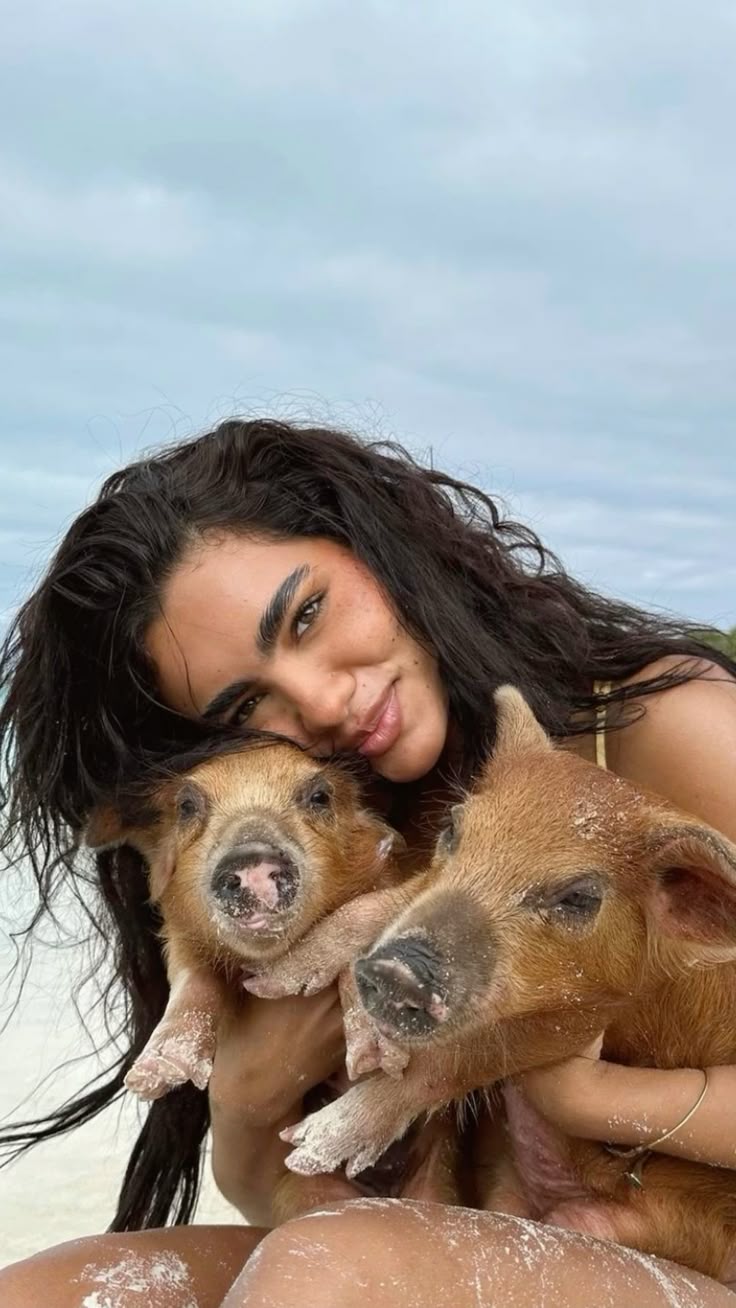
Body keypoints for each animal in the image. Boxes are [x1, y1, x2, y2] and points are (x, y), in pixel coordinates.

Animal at [245, 686, 736, 1278]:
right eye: (453, 829)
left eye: (579, 897)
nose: (396, 969)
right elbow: (383, 905)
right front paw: (270, 982)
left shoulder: (587, 1015)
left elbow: (462, 1056)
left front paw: (309, 1145)